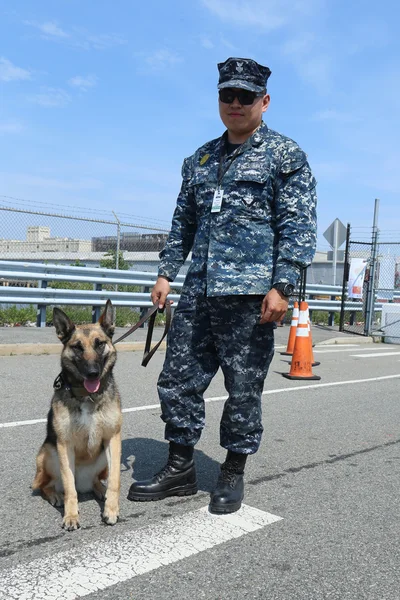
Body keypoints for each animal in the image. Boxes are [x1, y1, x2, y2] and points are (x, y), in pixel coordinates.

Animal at [31, 300, 120, 528]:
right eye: (77, 347)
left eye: (100, 344)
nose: (92, 373)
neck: (87, 396)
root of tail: (84, 484)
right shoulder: (64, 444)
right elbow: (69, 486)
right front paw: (71, 516)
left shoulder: (113, 439)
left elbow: (115, 479)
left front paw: (111, 509)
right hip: (48, 452)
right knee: (47, 485)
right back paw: (55, 495)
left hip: (102, 458)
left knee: (98, 480)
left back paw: (100, 490)